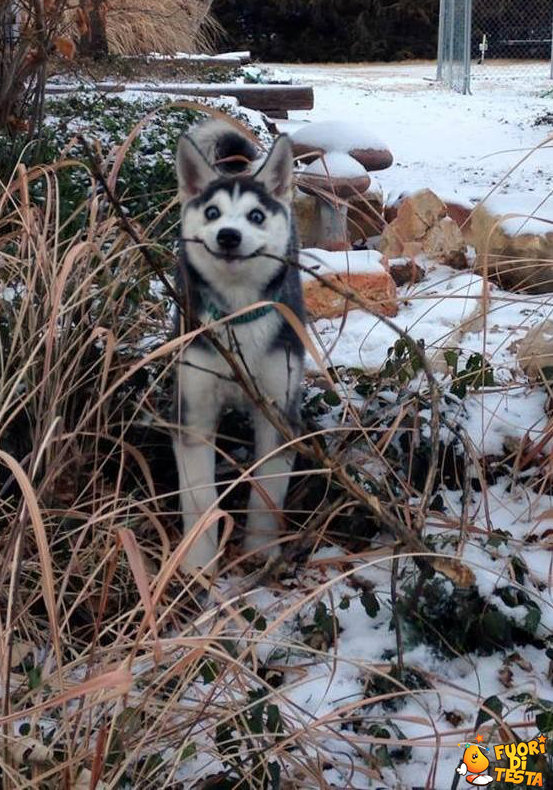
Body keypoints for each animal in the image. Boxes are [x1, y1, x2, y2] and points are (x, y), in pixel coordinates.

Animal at [174, 120, 304, 572]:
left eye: (256, 216)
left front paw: (260, 551)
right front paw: (198, 563)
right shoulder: (193, 413)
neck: (237, 317)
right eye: (212, 213)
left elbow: (268, 490)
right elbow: (199, 495)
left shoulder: (279, 412)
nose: (229, 236)